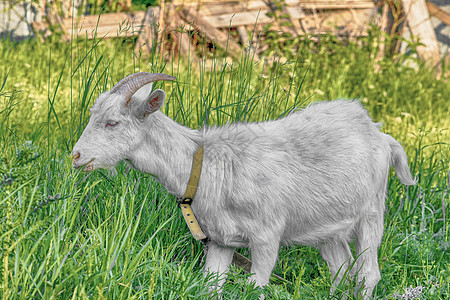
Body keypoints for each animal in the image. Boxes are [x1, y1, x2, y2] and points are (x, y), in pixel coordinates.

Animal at [72, 72, 416, 298]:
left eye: (113, 122)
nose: (76, 156)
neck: (206, 165)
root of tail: (379, 133)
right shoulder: (219, 240)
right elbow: (210, 287)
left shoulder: (266, 236)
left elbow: (257, 288)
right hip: (326, 226)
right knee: (342, 270)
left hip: (371, 211)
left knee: (367, 275)